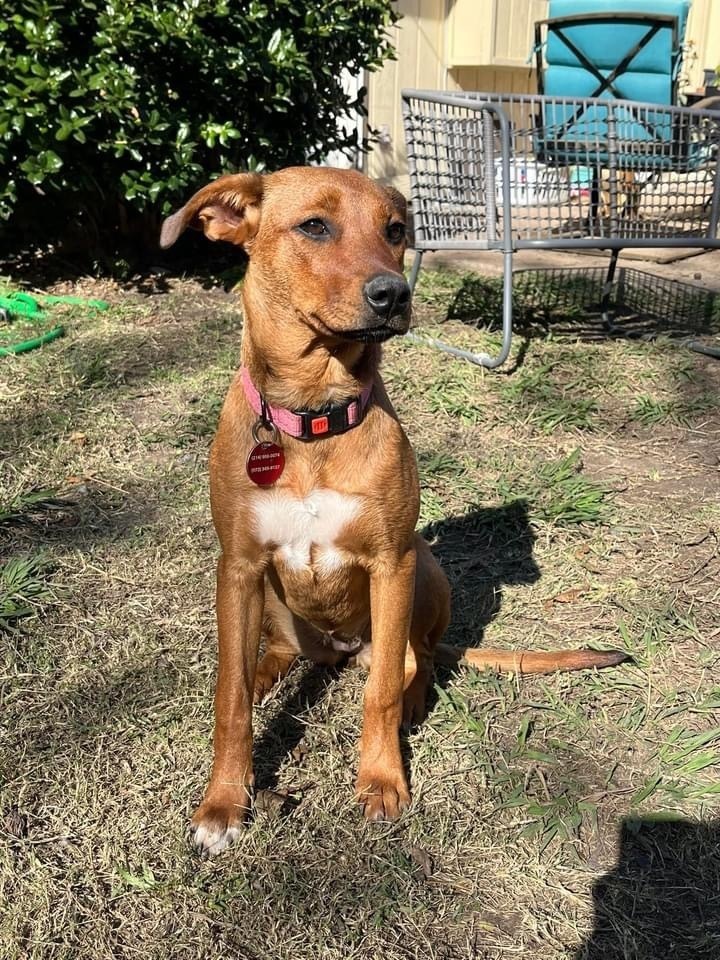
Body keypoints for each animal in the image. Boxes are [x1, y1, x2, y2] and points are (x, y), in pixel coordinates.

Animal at [160, 167, 628, 856]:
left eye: (396, 230)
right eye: (314, 226)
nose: (394, 295)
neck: (314, 419)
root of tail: (340, 648)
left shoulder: (390, 560)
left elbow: (377, 693)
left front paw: (381, 781)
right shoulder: (238, 566)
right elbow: (231, 698)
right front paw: (223, 803)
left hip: (424, 568)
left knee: (416, 659)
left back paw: (410, 697)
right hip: (272, 591)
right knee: (279, 650)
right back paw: (270, 669)